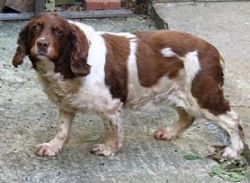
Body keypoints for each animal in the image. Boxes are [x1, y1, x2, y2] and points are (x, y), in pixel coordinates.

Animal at [12, 13, 244, 159]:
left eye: (58, 32)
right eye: (35, 28)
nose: (42, 44)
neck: (67, 67)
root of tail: (213, 50)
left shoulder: (111, 106)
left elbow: (113, 130)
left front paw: (108, 149)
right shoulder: (66, 104)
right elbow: (62, 129)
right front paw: (53, 147)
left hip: (201, 96)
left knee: (233, 121)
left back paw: (233, 151)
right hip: (176, 91)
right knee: (187, 116)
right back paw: (169, 133)